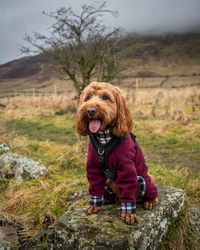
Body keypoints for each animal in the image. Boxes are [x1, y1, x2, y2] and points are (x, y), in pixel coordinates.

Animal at [75, 81, 158, 225]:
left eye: (105, 97)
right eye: (88, 97)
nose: (90, 110)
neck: (104, 137)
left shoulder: (126, 167)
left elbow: (128, 190)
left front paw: (128, 214)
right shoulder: (93, 167)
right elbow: (95, 187)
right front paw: (94, 205)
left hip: (146, 180)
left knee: (150, 192)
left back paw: (150, 201)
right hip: (108, 181)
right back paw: (108, 198)